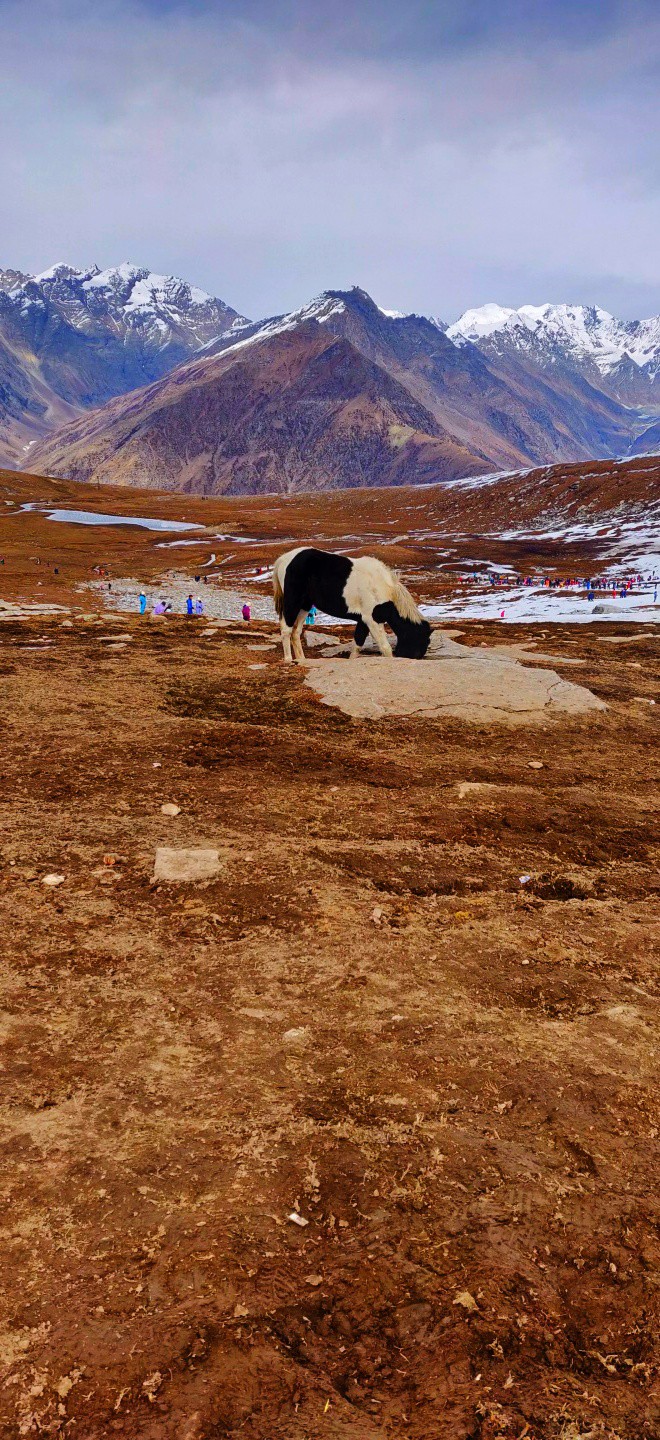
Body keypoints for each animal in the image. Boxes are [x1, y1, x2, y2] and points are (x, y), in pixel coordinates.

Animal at [272, 547, 431, 663]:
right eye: (418, 640)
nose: (411, 659)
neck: (383, 588)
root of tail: (284, 559)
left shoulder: (363, 621)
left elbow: (357, 645)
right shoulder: (371, 620)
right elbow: (385, 647)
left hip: (305, 605)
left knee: (295, 631)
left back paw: (301, 659)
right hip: (293, 602)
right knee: (286, 630)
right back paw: (288, 660)